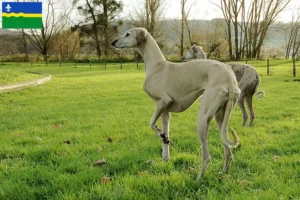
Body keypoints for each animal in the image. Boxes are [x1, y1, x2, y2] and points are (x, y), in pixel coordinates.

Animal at [111, 27, 240, 179]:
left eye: (127, 34)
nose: (113, 42)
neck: (157, 65)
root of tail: (229, 77)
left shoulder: (163, 102)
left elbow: (151, 124)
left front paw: (161, 135)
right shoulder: (165, 112)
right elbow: (164, 139)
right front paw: (165, 153)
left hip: (203, 119)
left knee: (207, 157)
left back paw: (198, 179)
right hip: (220, 118)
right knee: (229, 152)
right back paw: (223, 172)